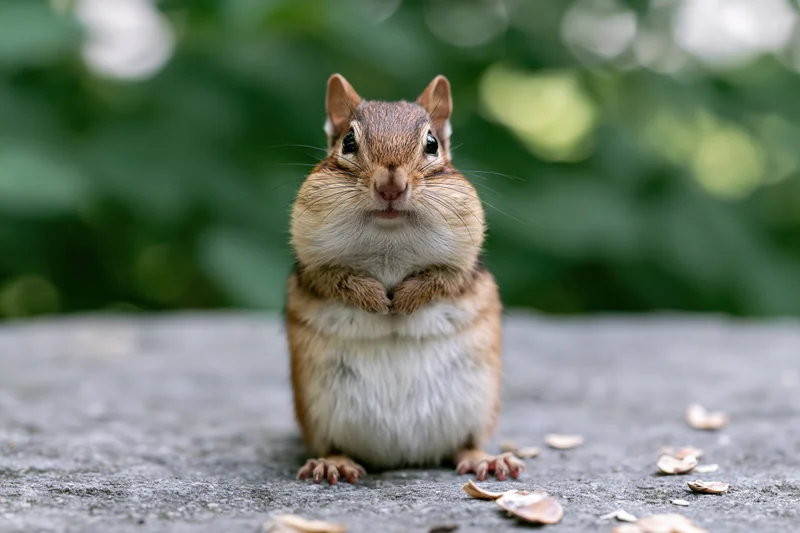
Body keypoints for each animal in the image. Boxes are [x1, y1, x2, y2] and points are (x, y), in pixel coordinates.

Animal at [285, 73, 522, 485]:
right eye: (348, 142)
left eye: (432, 144)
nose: (390, 186)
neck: (389, 239)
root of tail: (401, 458)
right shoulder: (313, 264)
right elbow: (335, 278)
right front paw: (376, 299)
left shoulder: (463, 263)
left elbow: (443, 278)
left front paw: (405, 300)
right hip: (317, 409)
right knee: (333, 444)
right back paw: (332, 463)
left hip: (477, 405)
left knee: (465, 443)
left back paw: (487, 460)